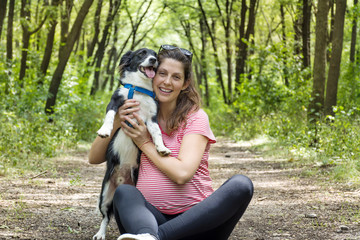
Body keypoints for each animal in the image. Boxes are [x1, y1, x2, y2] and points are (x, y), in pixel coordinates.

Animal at [93, 48, 172, 240]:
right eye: (141, 53)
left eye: (155, 55)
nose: (153, 60)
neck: (139, 90)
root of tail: (122, 182)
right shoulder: (115, 101)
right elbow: (110, 116)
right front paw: (105, 130)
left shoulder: (151, 117)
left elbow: (157, 133)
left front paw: (162, 148)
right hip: (104, 195)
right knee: (105, 217)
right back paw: (100, 233)